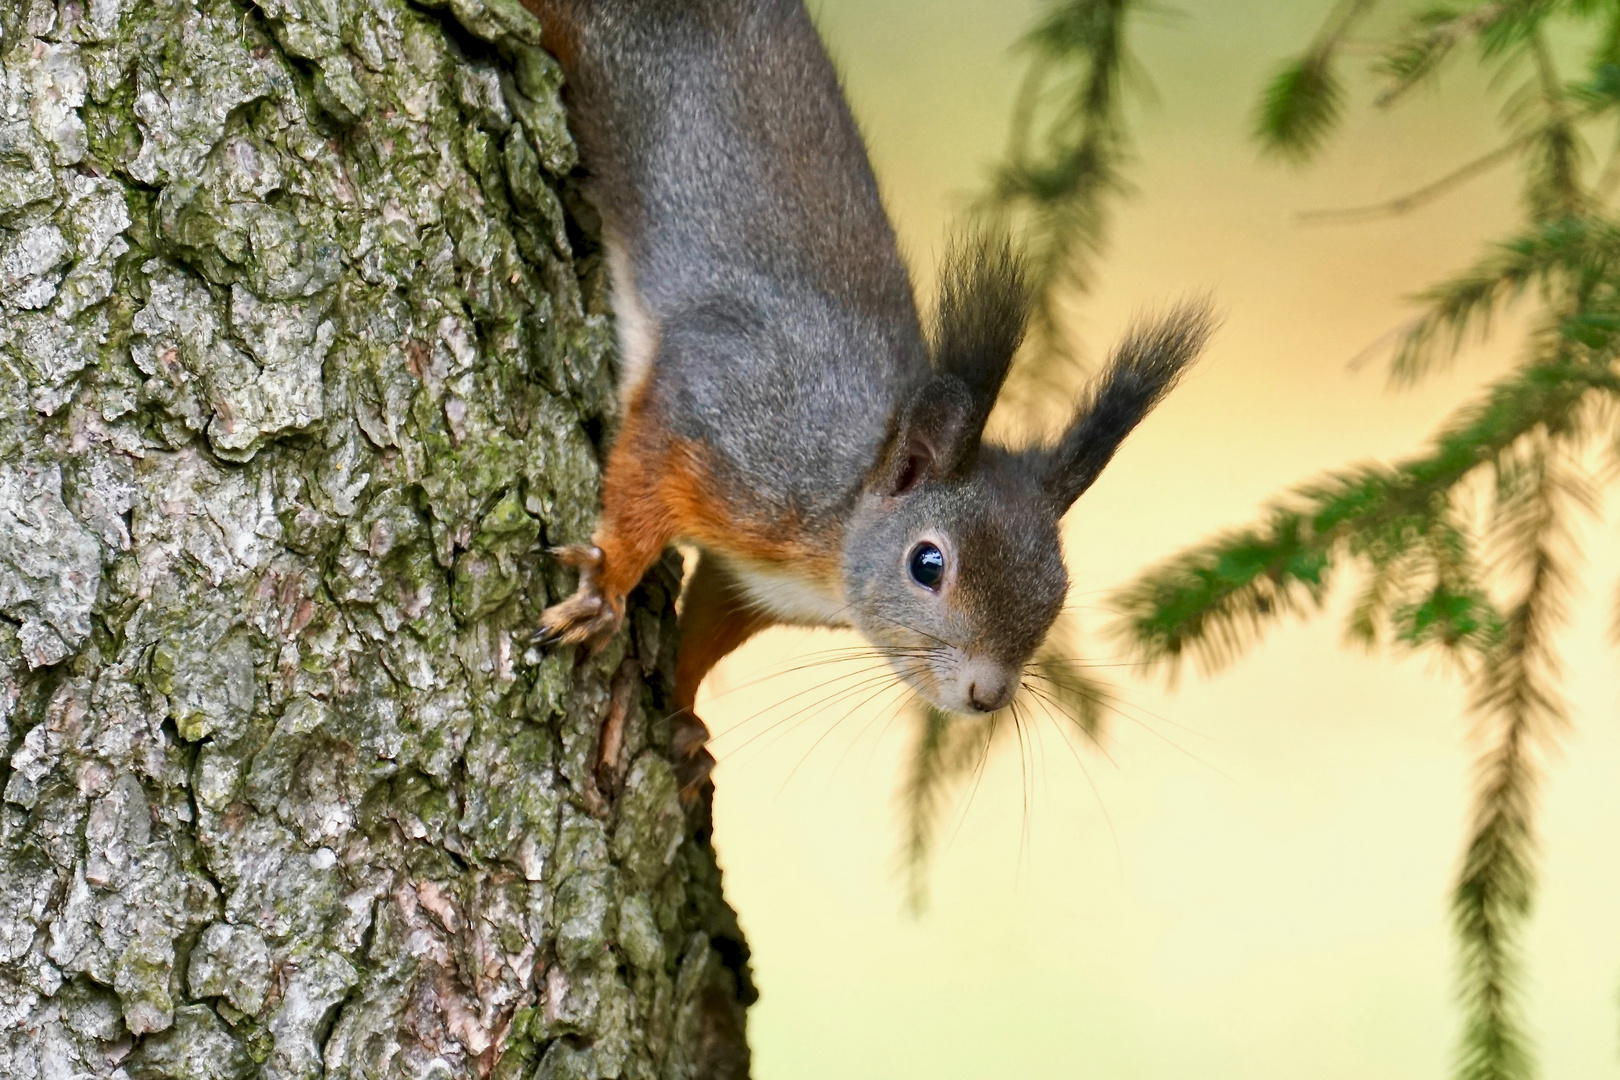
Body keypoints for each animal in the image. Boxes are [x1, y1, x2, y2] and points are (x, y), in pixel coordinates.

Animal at [524, 0, 1211, 790]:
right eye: (927, 564)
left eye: (1059, 586)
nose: (988, 694)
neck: (837, 522)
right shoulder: (727, 421)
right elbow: (644, 477)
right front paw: (606, 588)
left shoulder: (750, 580)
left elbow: (702, 629)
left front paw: (686, 720)